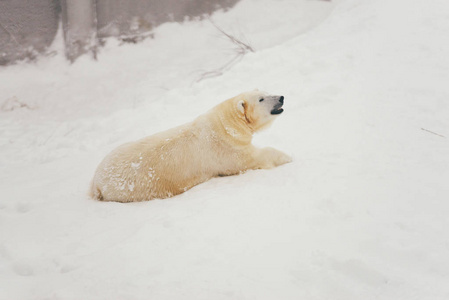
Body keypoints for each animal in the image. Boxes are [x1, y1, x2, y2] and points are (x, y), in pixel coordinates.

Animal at [89, 89, 292, 202]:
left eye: (266, 92)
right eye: (261, 99)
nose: (281, 98)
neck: (226, 125)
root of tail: (96, 182)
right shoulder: (226, 149)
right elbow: (254, 158)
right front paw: (287, 156)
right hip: (132, 189)